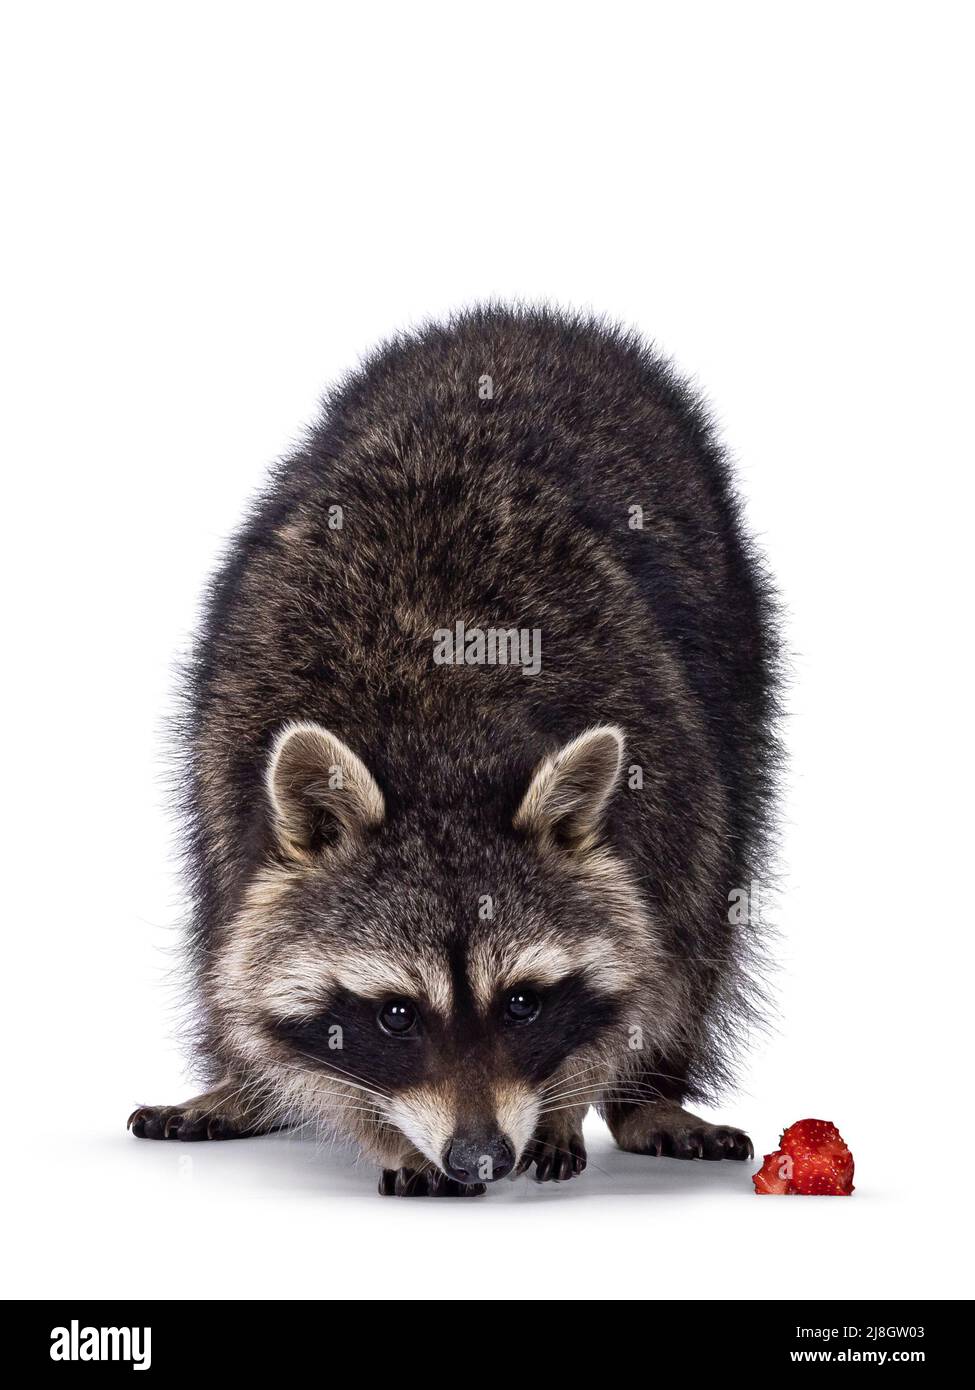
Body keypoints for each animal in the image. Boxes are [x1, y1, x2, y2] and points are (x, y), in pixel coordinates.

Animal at [131, 304, 784, 1195]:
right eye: (395, 1015)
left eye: (523, 1003)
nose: (481, 1156)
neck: (437, 742)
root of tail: (524, 320)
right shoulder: (236, 763)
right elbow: (253, 982)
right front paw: (379, 1128)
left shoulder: (664, 774)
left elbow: (653, 956)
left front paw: (566, 1101)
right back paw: (241, 1084)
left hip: (735, 660)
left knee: (710, 901)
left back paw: (647, 1095)